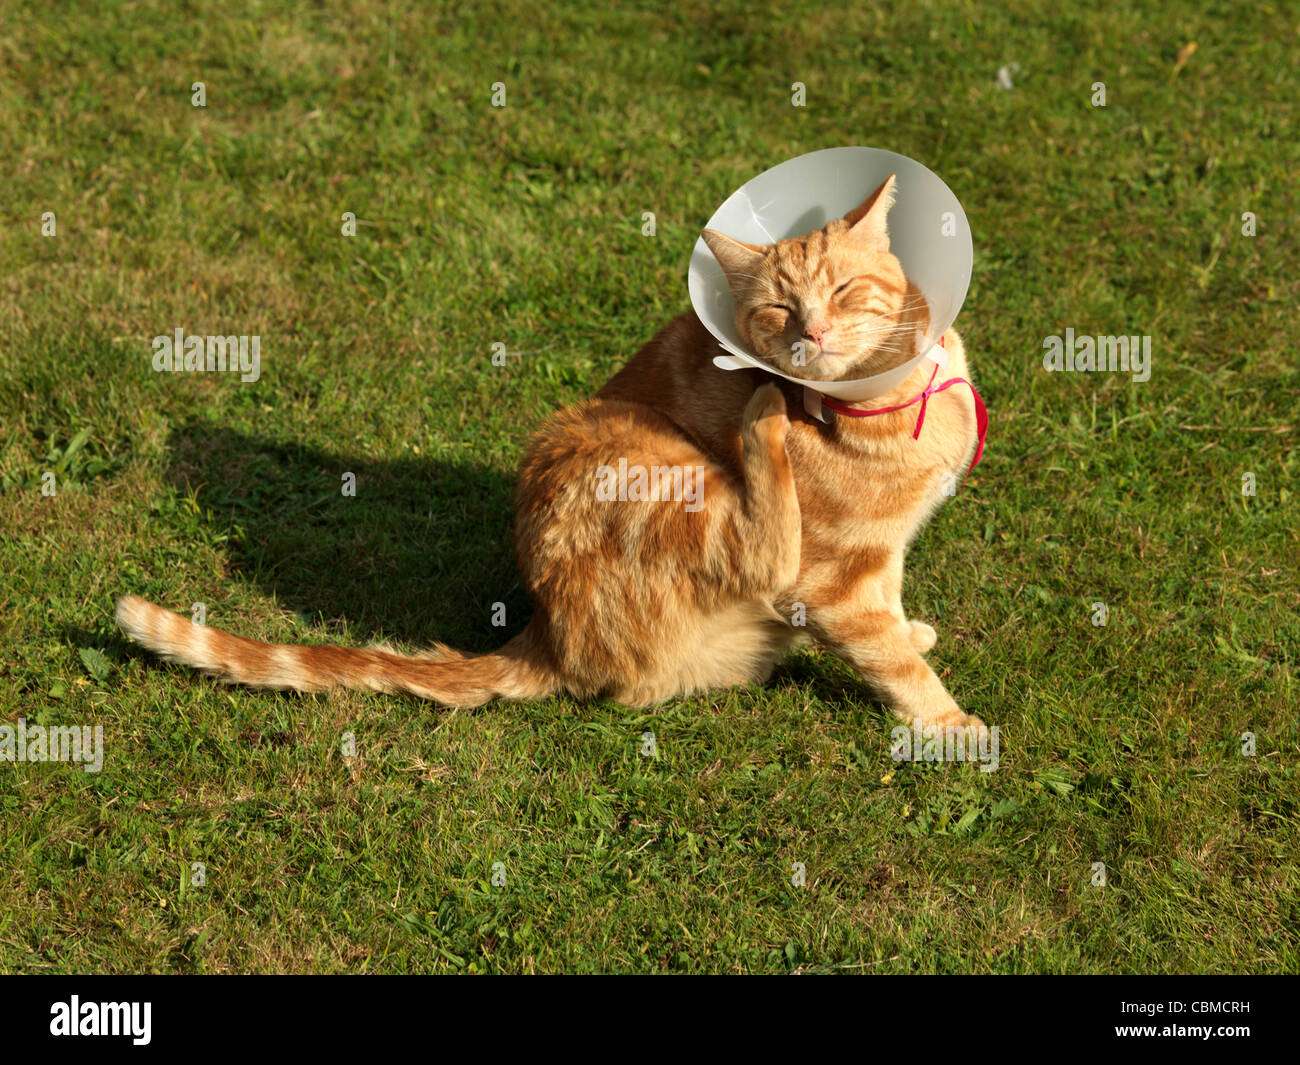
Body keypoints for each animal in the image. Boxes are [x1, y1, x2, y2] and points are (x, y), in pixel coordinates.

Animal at [116, 176, 977, 743]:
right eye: (776, 307)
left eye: (845, 290)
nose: (810, 338)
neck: (898, 403)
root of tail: (543, 629)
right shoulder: (829, 581)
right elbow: (893, 662)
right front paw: (953, 725)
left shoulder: (881, 556)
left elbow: (891, 614)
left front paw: (913, 632)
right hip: (632, 452)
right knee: (760, 546)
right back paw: (762, 410)